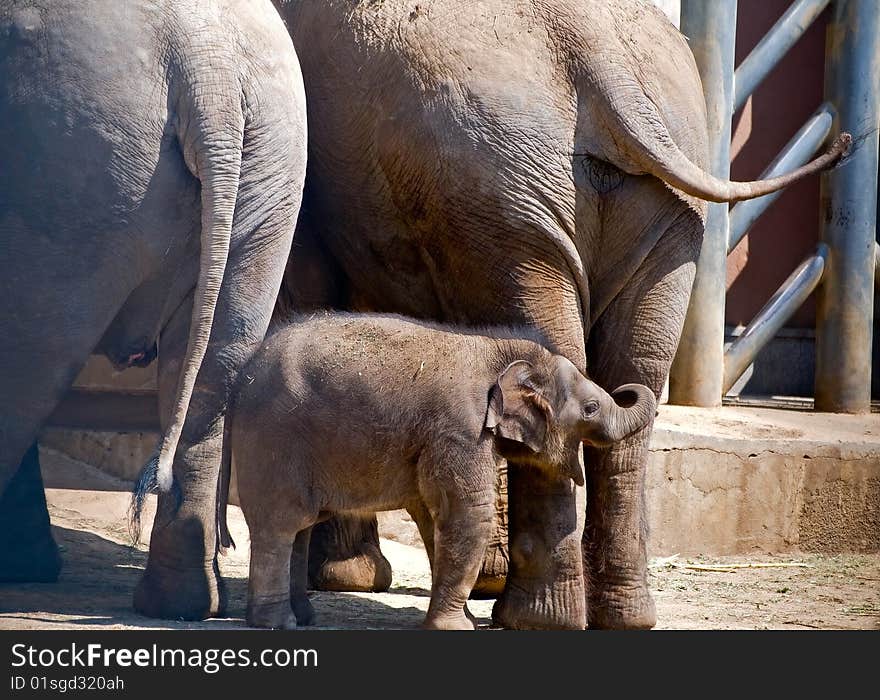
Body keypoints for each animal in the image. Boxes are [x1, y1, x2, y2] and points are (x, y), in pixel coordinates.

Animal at [0, 0, 310, 616]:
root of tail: (209, 73)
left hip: (68, 166)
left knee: (26, 360)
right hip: (272, 171)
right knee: (213, 371)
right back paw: (179, 605)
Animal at [219, 312, 652, 628]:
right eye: (591, 408)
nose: (627, 388)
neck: (499, 350)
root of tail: (242, 380)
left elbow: (435, 518)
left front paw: (462, 621)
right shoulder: (461, 429)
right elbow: (466, 512)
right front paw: (458, 629)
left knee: (302, 526)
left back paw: (303, 619)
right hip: (274, 442)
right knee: (281, 526)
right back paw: (278, 625)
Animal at [276, 0, 852, 628]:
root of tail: (601, 59)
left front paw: (347, 577)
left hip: (497, 194)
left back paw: (534, 617)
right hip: (646, 209)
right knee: (630, 370)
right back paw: (620, 614)